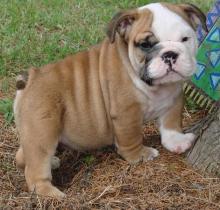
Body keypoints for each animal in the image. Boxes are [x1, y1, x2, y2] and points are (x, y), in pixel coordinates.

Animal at [13, 2, 206, 198]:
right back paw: (53, 194)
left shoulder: (174, 97)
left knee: (22, 156)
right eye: (145, 45)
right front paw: (140, 155)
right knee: (34, 170)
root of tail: (31, 78)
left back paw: (51, 162)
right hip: (42, 131)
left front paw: (177, 142)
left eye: (185, 39)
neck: (155, 86)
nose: (170, 54)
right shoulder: (126, 112)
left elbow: (171, 123)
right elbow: (131, 137)